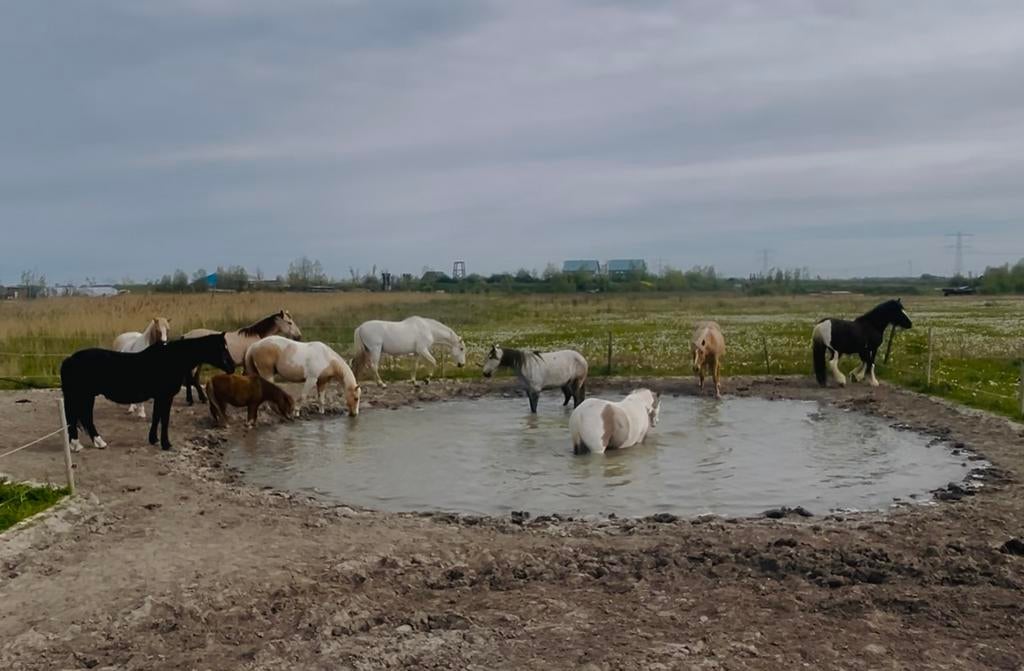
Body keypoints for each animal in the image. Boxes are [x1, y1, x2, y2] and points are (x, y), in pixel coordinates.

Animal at [60, 333, 234, 451]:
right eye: (222, 348)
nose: (232, 367)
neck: (171, 360)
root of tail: (69, 359)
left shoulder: (159, 397)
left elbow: (156, 417)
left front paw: (154, 439)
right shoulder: (165, 397)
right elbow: (164, 419)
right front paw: (166, 444)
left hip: (86, 397)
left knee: (84, 418)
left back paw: (96, 443)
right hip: (82, 396)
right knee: (79, 417)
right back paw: (80, 445)